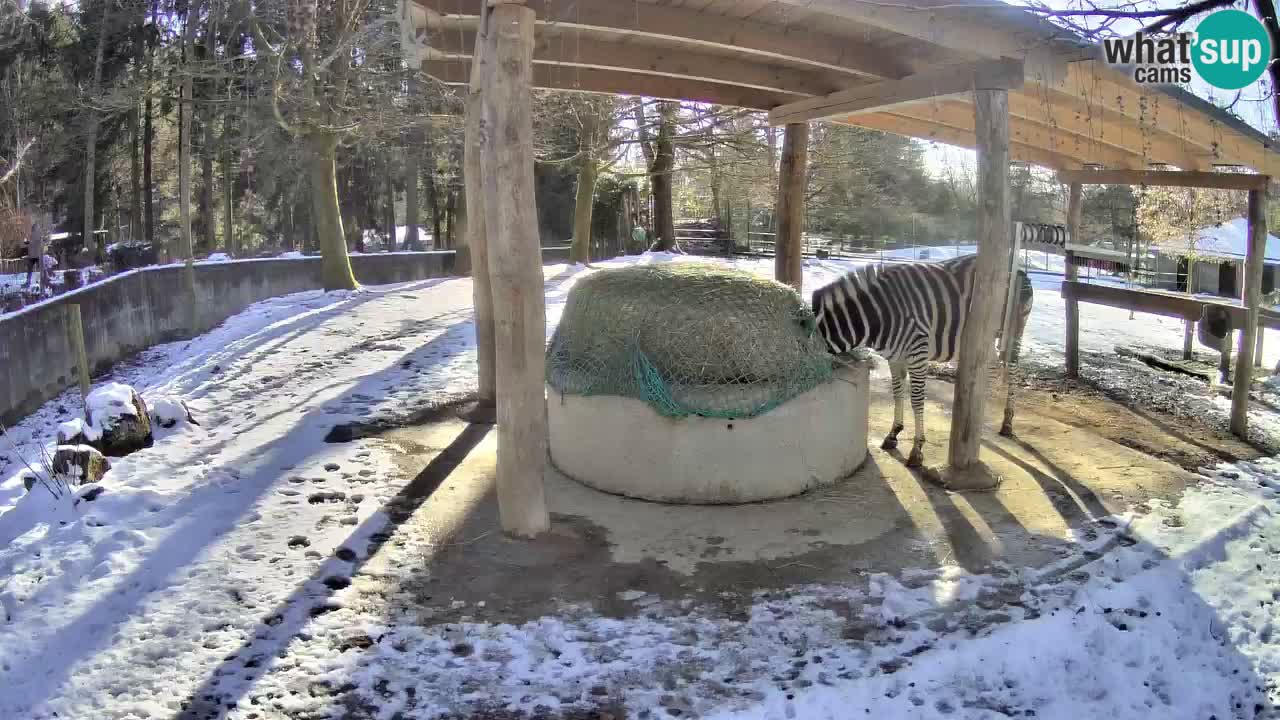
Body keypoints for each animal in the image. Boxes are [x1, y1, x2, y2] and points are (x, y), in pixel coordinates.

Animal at [814, 254, 1034, 468]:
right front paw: (893, 433)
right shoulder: (895, 357)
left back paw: (1007, 423)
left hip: (1014, 329)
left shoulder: (918, 353)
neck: (879, 316)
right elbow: (897, 393)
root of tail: (1019, 268)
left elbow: (917, 399)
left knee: (1014, 370)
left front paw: (917, 450)